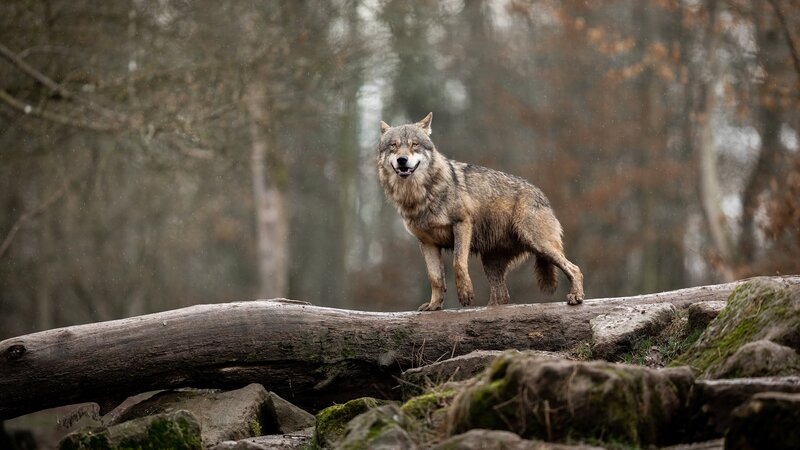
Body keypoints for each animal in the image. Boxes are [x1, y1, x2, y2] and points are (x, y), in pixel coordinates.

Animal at [377, 112, 585, 311]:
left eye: (414, 145)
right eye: (393, 146)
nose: (402, 160)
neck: (420, 195)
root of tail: (541, 194)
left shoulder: (462, 224)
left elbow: (458, 263)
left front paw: (465, 294)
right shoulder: (427, 243)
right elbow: (435, 278)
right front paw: (434, 305)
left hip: (539, 245)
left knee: (574, 268)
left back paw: (576, 296)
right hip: (492, 262)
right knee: (502, 298)